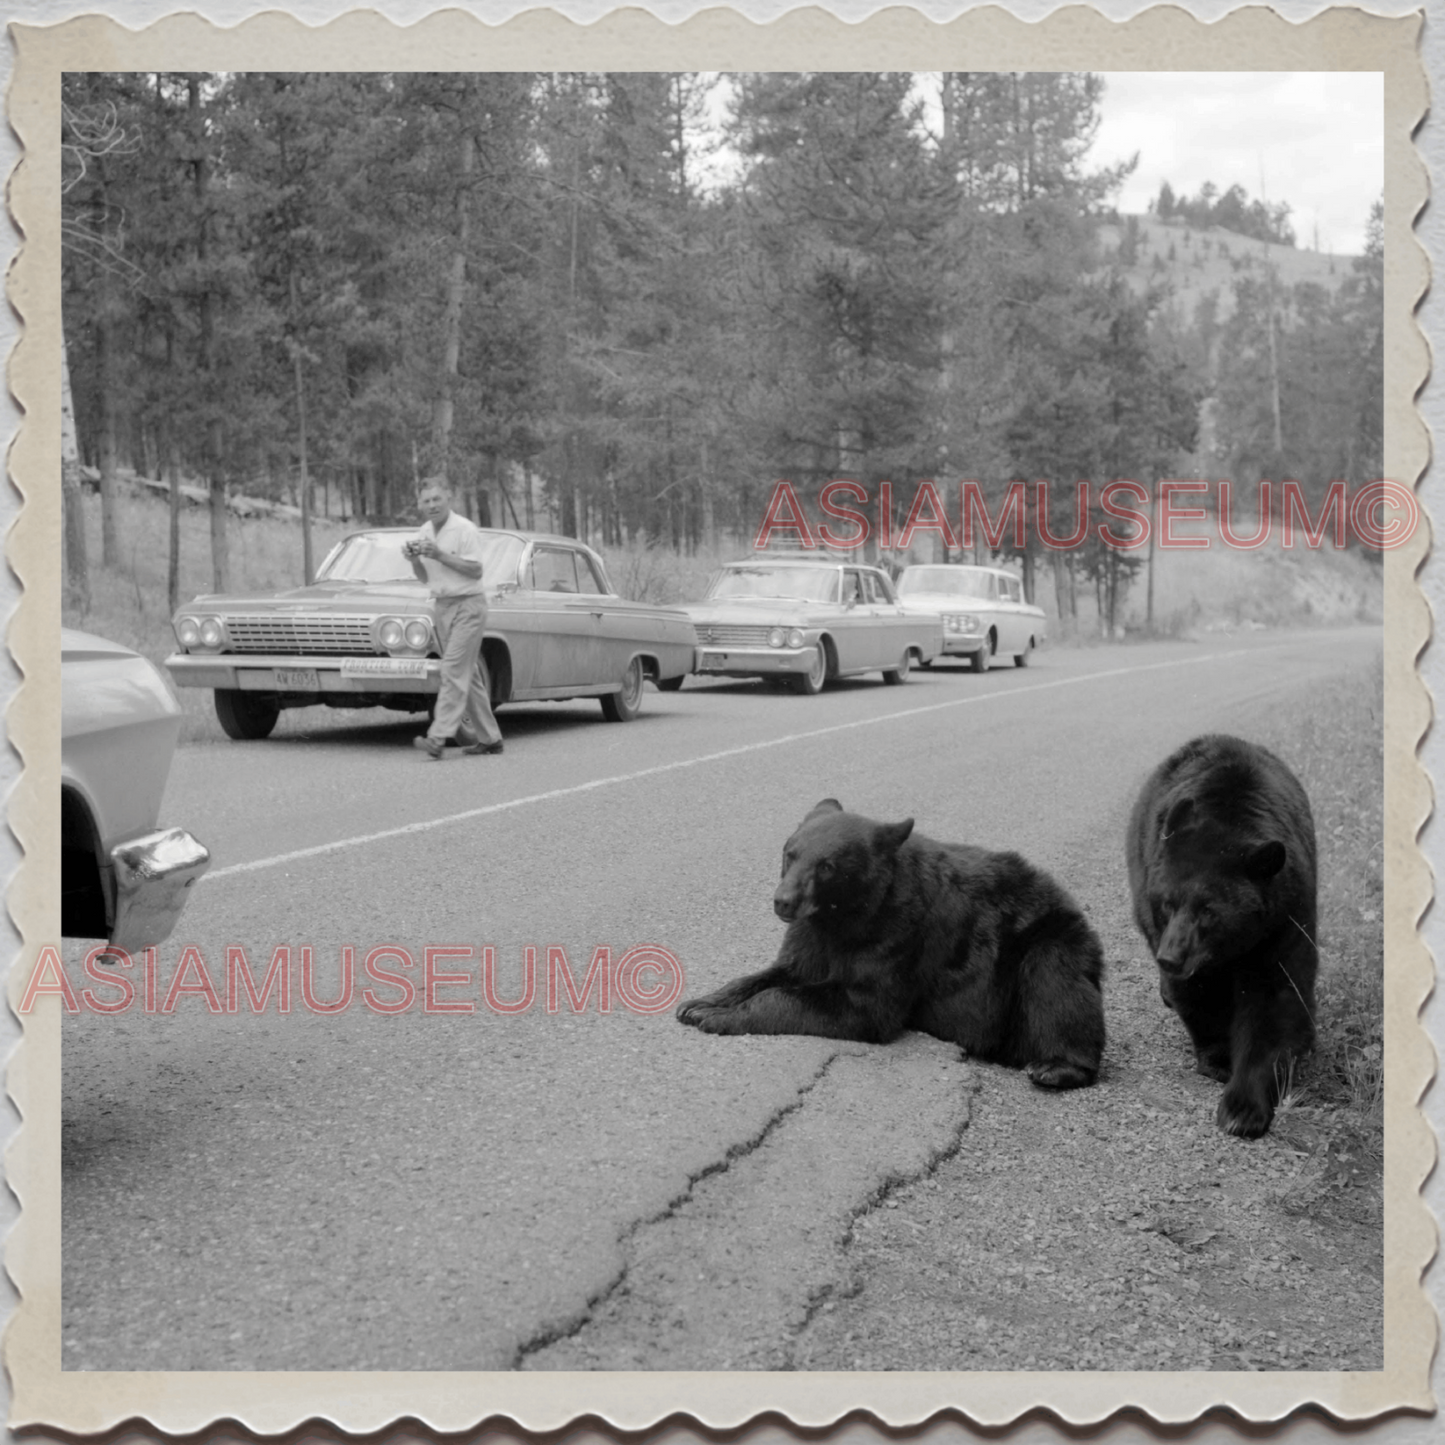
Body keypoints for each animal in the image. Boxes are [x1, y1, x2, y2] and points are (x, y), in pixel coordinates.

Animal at [676, 797, 1103, 1086]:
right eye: (789, 853)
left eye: (827, 866)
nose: (784, 901)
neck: (843, 915)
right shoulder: (811, 934)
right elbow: (782, 970)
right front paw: (701, 1003)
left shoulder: (898, 933)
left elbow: (863, 1004)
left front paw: (721, 1017)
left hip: (1049, 942)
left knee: (1058, 991)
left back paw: (1055, 1067)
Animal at [1127, 739, 1323, 1132]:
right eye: (1168, 902)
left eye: (1209, 911)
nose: (1170, 958)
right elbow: (1200, 995)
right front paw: (1218, 1059)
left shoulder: (1284, 918)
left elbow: (1277, 998)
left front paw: (1242, 1108)